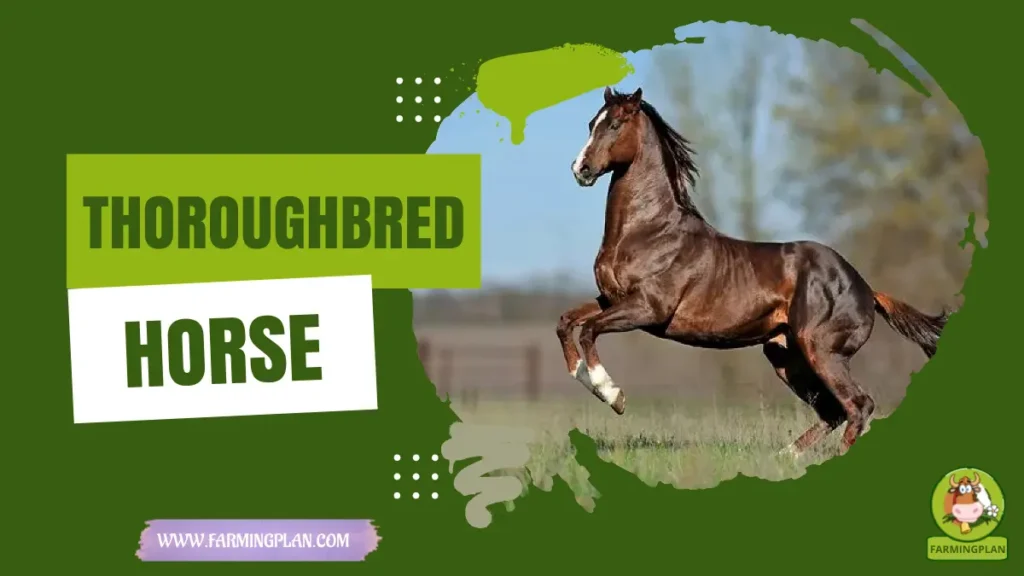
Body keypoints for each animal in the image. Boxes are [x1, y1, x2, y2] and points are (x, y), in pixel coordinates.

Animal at [556, 86, 950, 457]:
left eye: (616, 124)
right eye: (591, 124)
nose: (580, 169)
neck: (648, 231)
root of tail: (866, 289)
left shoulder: (648, 309)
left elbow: (589, 330)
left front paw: (613, 395)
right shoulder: (611, 300)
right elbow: (567, 322)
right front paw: (580, 374)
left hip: (822, 351)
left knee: (858, 406)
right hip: (785, 355)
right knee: (834, 411)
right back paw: (786, 455)